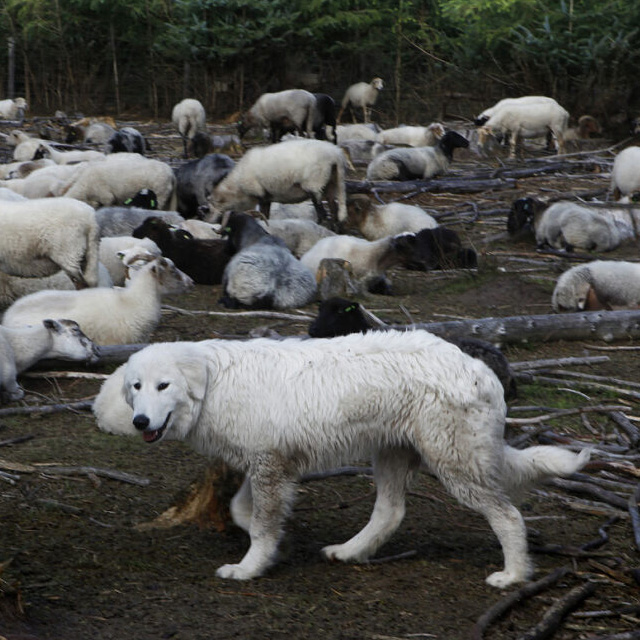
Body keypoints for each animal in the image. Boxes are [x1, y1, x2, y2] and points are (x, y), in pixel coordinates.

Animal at [94, 332, 592, 588]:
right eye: (136, 386)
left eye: (163, 386)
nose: (140, 421)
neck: (215, 382)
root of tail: (481, 369)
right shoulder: (268, 463)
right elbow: (244, 512)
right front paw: (275, 545)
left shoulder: (269, 464)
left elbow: (261, 524)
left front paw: (250, 567)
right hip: (390, 453)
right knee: (391, 512)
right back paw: (351, 552)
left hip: (454, 463)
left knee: (509, 516)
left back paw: (513, 575)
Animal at [211, 139, 348, 224]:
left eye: (212, 206)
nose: (211, 221)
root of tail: (336, 154)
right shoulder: (266, 196)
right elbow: (265, 215)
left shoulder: (259, 193)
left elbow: (263, 214)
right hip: (331, 181)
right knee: (334, 210)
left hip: (315, 184)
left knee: (322, 213)